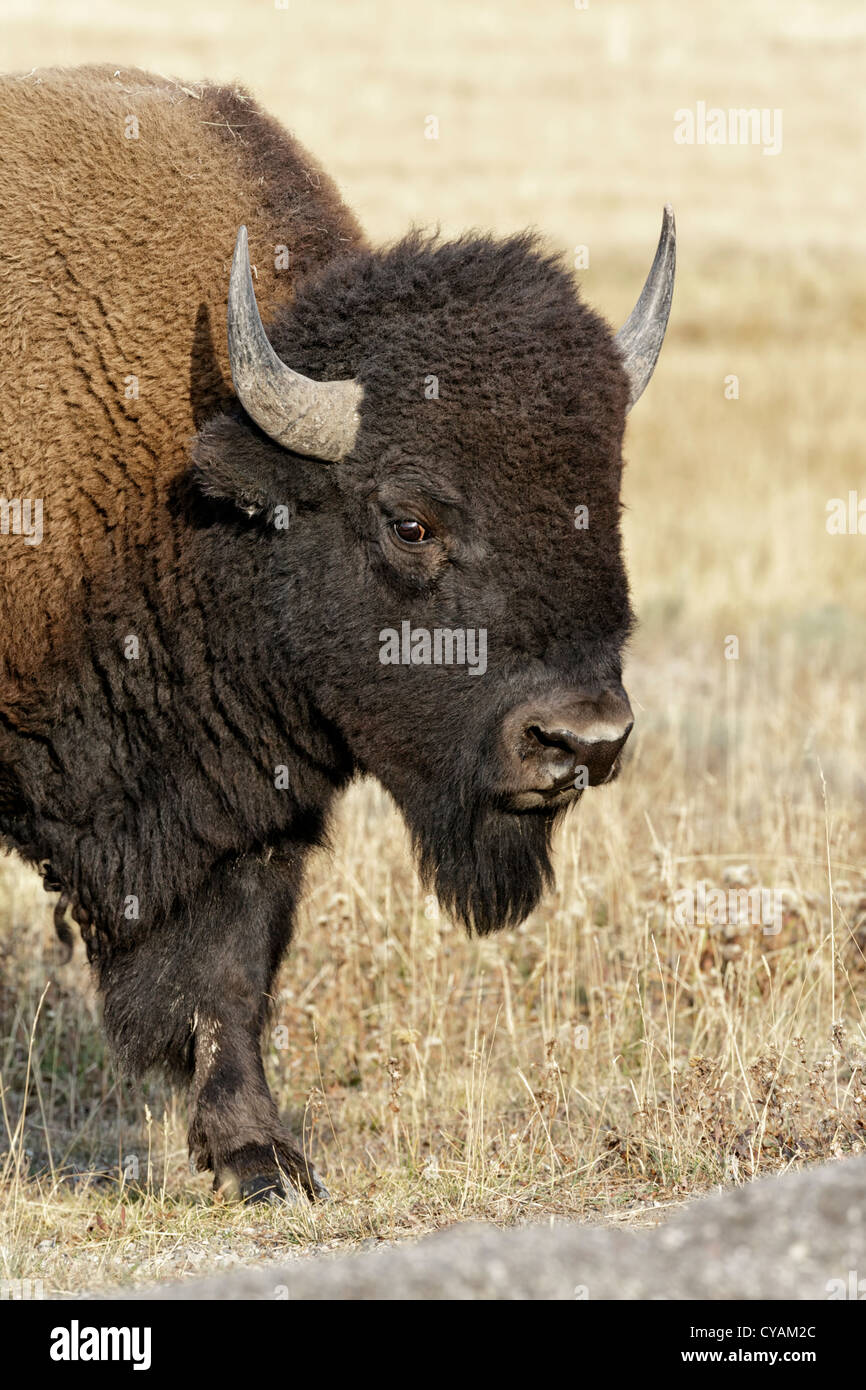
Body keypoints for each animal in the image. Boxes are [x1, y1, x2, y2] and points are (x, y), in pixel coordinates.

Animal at [0, 62, 678, 1195]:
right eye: (410, 520)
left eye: (605, 504)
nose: (580, 740)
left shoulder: (243, 796)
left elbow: (230, 976)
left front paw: (260, 1158)